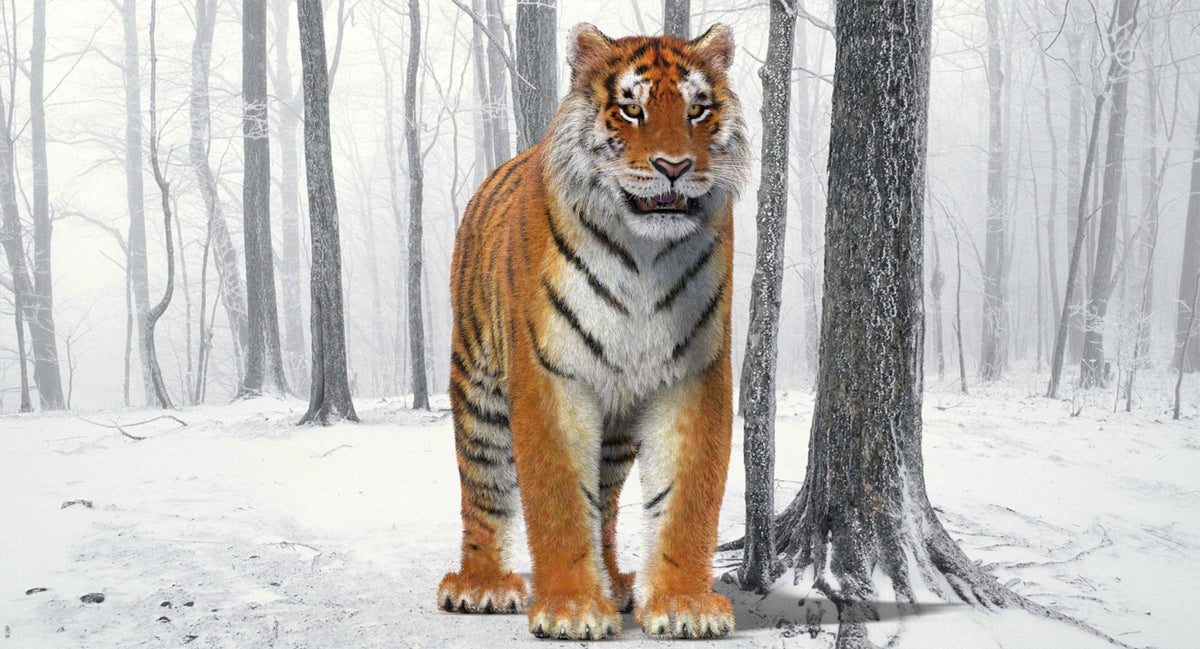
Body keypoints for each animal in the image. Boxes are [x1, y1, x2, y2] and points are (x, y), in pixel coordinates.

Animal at [437, 22, 749, 640]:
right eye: (631, 109)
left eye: (698, 109)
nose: (674, 166)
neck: (644, 254)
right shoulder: (551, 374)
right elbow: (558, 498)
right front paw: (572, 610)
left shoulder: (694, 372)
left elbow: (687, 497)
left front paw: (684, 605)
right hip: (478, 389)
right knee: (483, 489)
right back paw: (481, 586)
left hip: (617, 426)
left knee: (603, 505)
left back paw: (616, 585)